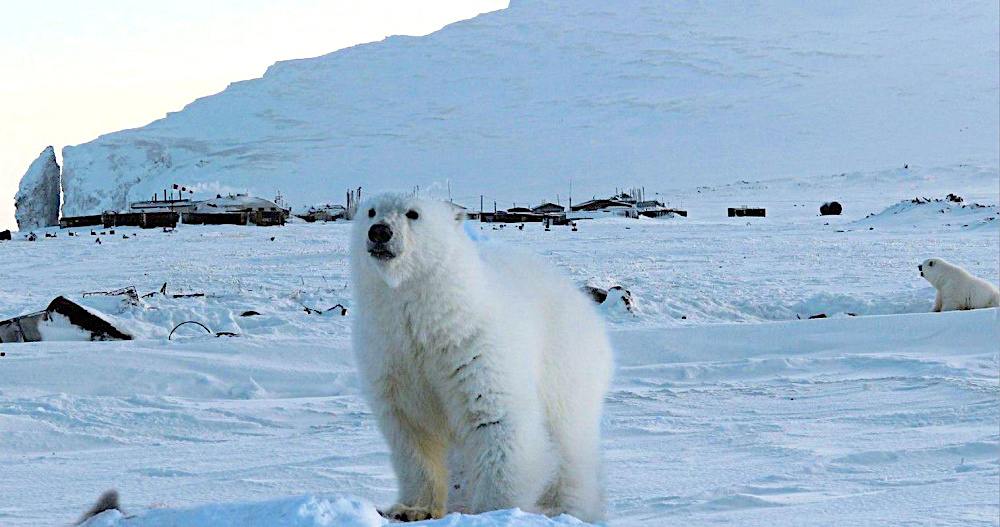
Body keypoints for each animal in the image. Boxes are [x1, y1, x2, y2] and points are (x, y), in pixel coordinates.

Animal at [352, 195, 616, 524]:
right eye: (370, 211)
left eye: (413, 214)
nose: (379, 232)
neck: (436, 320)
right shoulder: (391, 354)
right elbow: (413, 432)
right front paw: (410, 510)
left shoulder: (475, 348)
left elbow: (496, 419)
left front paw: (495, 510)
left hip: (564, 362)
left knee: (568, 438)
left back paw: (569, 508)